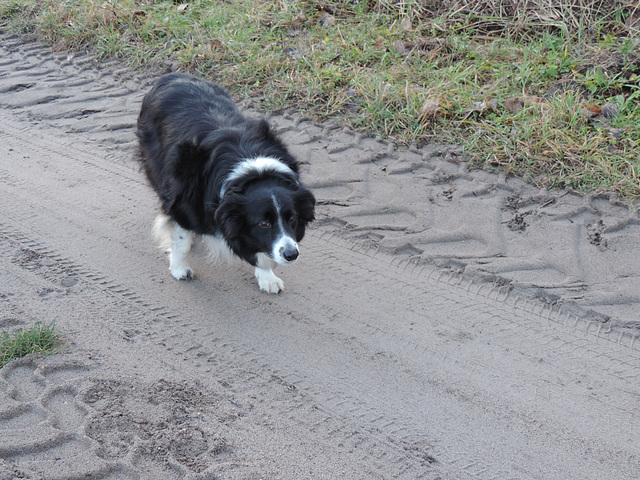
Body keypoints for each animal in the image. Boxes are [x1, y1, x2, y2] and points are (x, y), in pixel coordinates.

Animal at [136, 73, 316, 294]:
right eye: (263, 223)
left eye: (293, 218)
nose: (291, 255)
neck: (252, 174)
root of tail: (172, 76)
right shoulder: (185, 200)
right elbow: (181, 239)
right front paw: (179, 269)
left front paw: (268, 278)